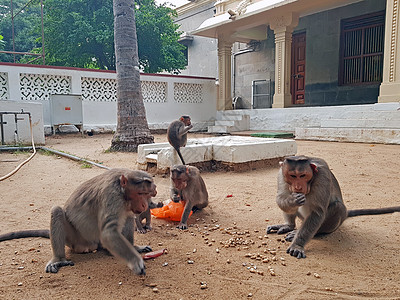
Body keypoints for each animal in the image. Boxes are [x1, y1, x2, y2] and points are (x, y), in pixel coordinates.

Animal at [0, 169, 156, 274]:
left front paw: (135, 248)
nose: (145, 205)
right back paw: (58, 259)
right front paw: (135, 262)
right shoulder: (112, 195)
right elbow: (109, 233)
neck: (121, 189)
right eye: (140, 193)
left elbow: (128, 217)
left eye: (147, 194)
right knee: (56, 211)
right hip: (75, 239)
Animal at [266, 156, 400, 258]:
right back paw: (289, 225)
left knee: (337, 207)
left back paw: (308, 233)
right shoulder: (280, 174)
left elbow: (317, 212)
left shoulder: (323, 177)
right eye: (292, 176)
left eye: (303, 175)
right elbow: (280, 197)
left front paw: (297, 245)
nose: (298, 187)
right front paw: (293, 200)